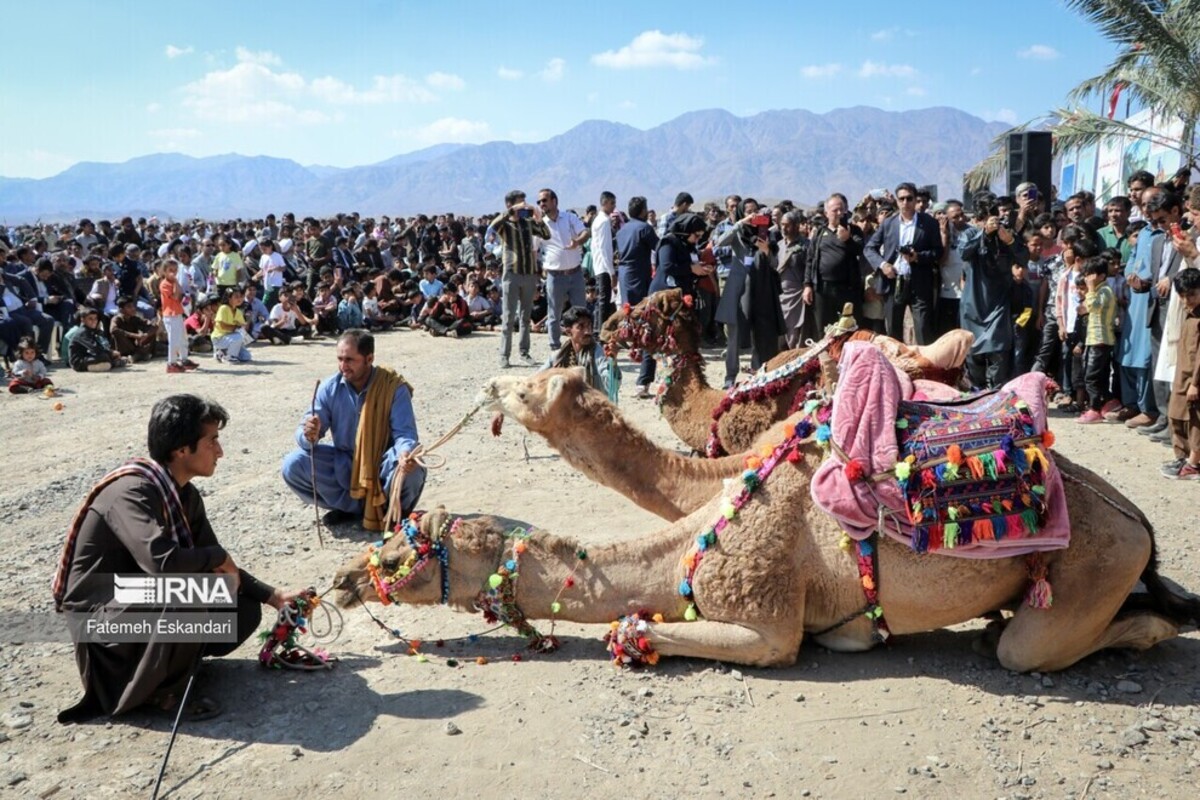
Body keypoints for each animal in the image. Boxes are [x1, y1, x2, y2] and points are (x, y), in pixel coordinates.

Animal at [333, 434, 1195, 671]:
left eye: (403, 548)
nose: (341, 576)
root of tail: (1141, 521)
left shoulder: (768, 619)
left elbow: (635, 628)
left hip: (1094, 563)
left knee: (1037, 646)